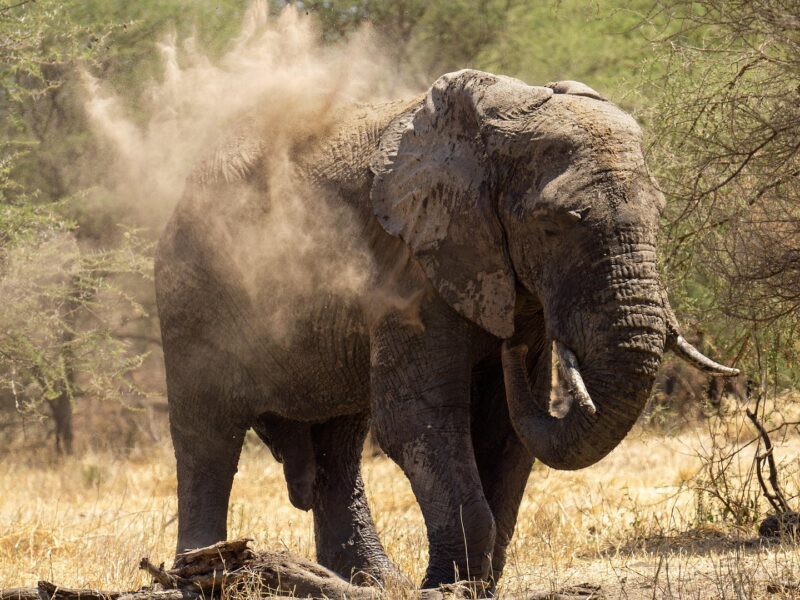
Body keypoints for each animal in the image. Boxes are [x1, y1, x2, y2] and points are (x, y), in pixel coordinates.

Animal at [154, 69, 738, 589]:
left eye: (660, 213)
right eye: (552, 225)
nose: (510, 346)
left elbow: (505, 428)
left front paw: (470, 584)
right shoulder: (411, 264)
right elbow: (418, 418)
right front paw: (447, 587)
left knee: (340, 443)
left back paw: (372, 582)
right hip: (191, 293)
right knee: (208, 436)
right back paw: (200, 576)